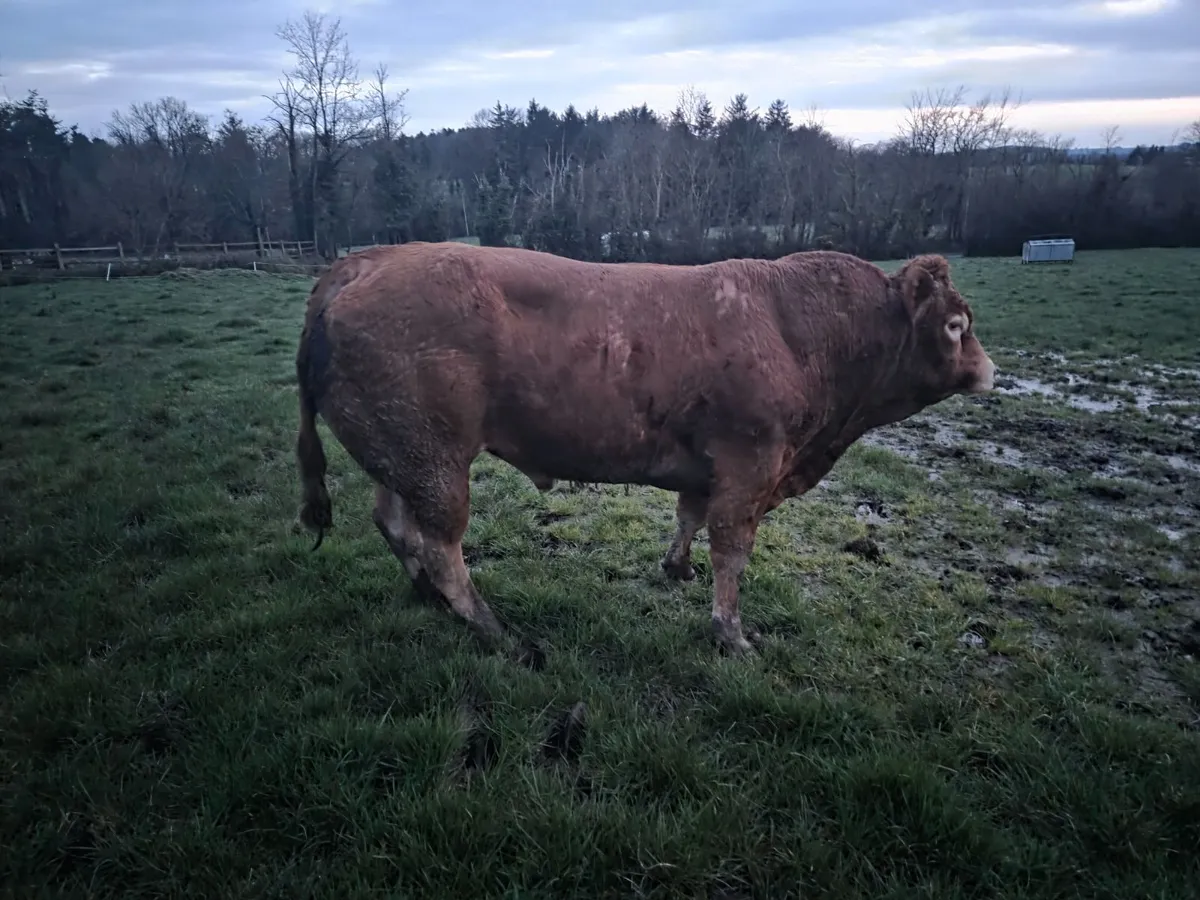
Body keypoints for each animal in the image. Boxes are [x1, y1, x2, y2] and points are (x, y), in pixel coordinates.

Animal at [293, 242, 995, 656]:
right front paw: (732, 634)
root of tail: (361, 263)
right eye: (955, 325)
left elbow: (689, 516)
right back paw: (492, 629)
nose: (989, 371)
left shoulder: (711, 467)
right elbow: (731, 551)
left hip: (402, 453)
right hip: (437, 462)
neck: (803, 332)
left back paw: (424, 596)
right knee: (441, 545)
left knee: (395, 524)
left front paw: (676, 568)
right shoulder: (751, 465)